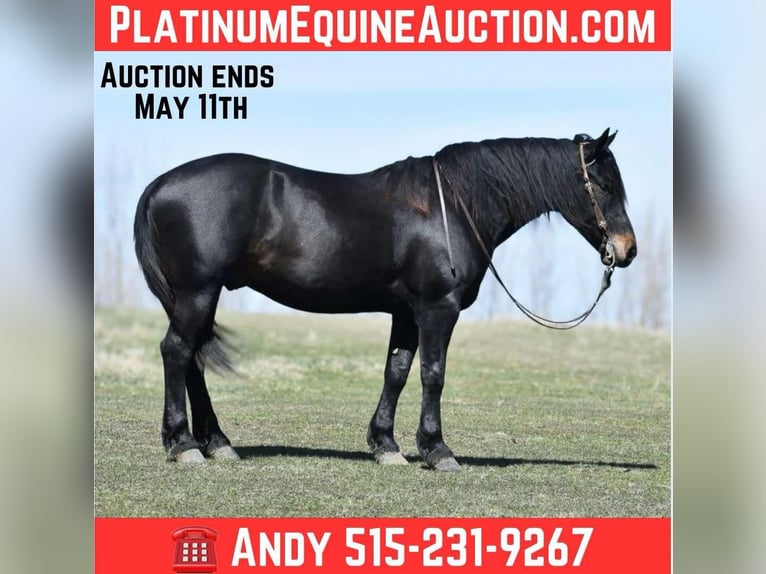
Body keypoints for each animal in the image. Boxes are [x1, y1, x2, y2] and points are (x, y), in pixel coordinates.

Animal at [133, 128, 636, 471]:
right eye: (604, 185)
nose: (627, 250)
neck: (452, 208)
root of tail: (159, 185)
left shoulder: (406, 313)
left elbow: (396, 371)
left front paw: (387, 446)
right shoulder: (437, 309)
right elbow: (433, 374)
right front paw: (437, 450)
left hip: (197, 296)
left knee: (193, 359)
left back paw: (216, 443)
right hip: (198, 292)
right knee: (176, 352)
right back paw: (184, 444)